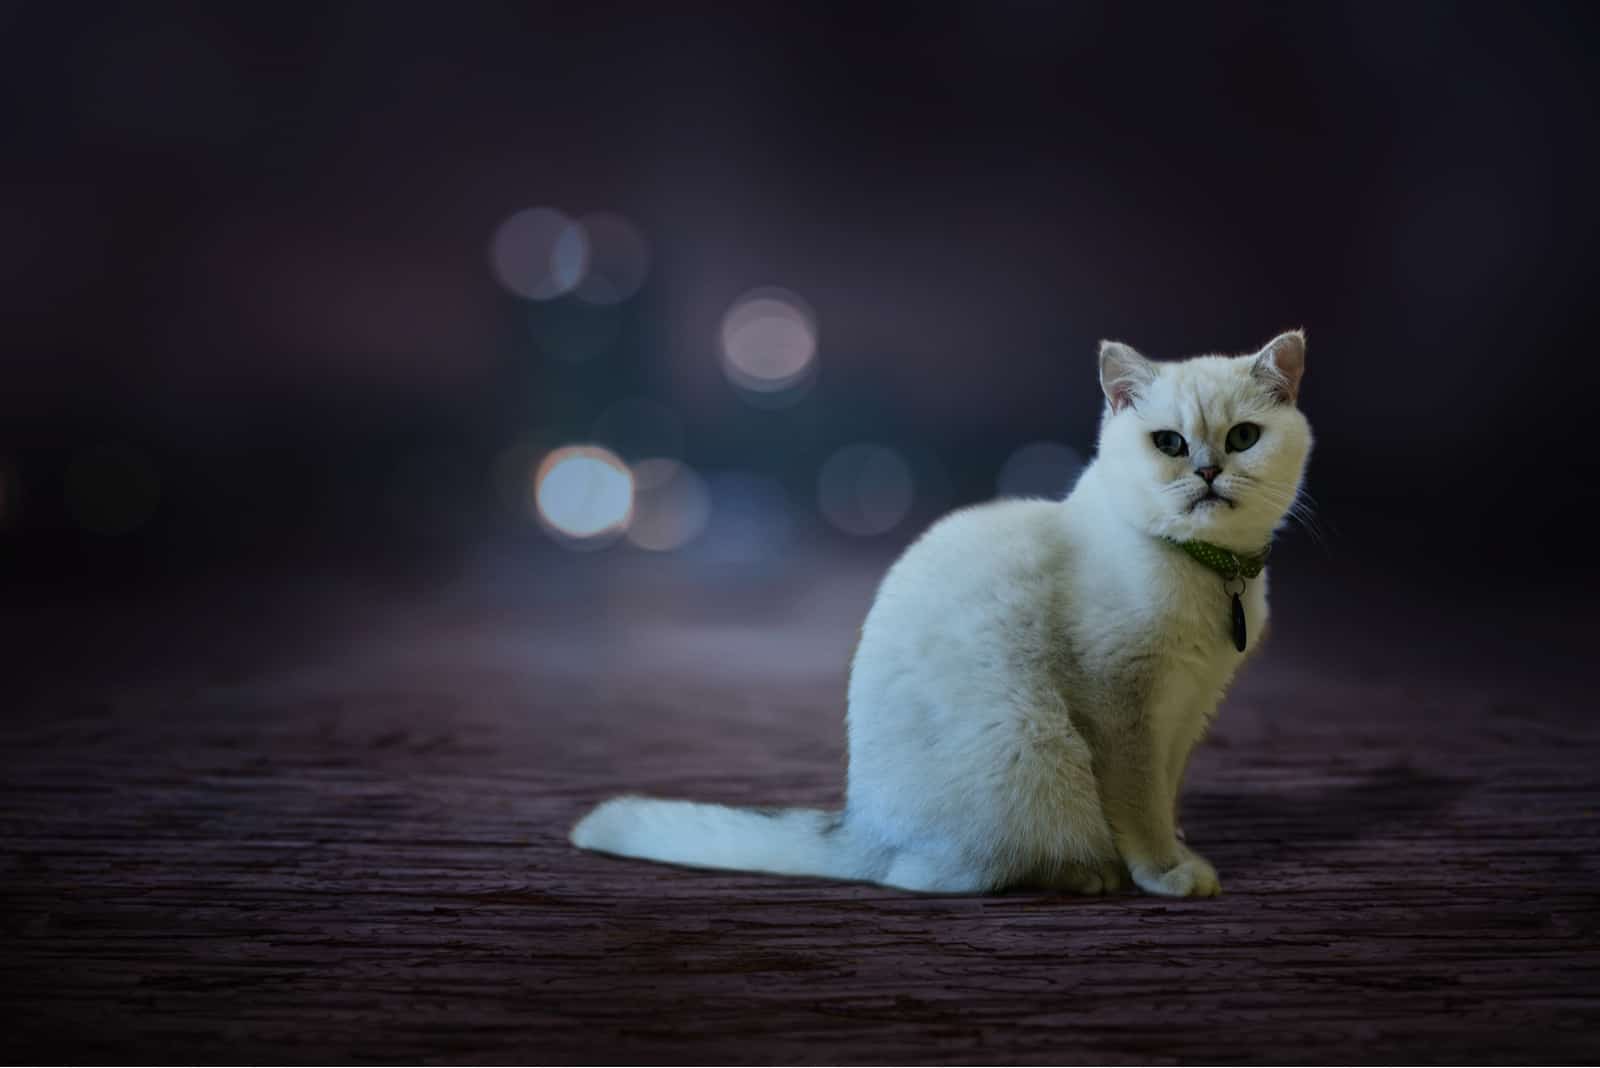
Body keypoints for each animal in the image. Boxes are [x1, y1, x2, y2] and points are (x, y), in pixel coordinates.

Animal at [576, 329, 1312, 895]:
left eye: (1243, 438)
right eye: (1170, 445)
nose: (1209, 473)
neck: (1215, 572)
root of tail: (859, 827)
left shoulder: (1189, 707)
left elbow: (1168, 789)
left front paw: (1183, 846)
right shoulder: (1121, 707)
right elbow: (1141, 806)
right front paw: (1169, 872)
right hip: (1032, 741)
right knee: (946, 875)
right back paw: (1089, 875)